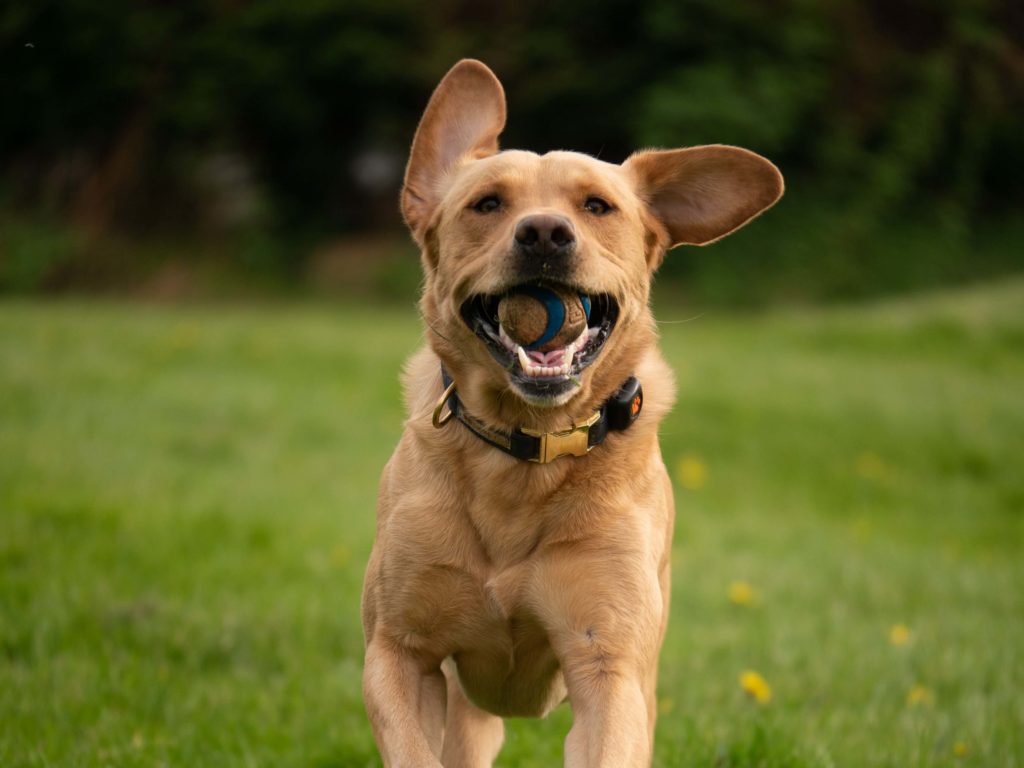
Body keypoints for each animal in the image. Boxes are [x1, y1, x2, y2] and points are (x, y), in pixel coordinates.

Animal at [362, 57, 782, 765]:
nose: (544, 233)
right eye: (487, 203)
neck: (526, 446)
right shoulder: (398, 651)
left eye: (596, 206)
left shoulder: (608, 664)